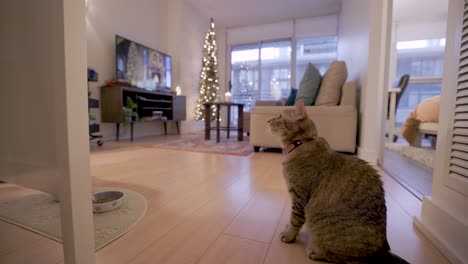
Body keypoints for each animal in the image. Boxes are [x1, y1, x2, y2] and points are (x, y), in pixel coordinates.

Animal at [268, 100, 408, 262]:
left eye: (279, 116)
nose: (268, 120)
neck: (300, 143)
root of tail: (383, 250)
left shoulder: (299, 197)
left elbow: (295, 220)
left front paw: (289, 235)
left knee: (343, 257)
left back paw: (316, 252)